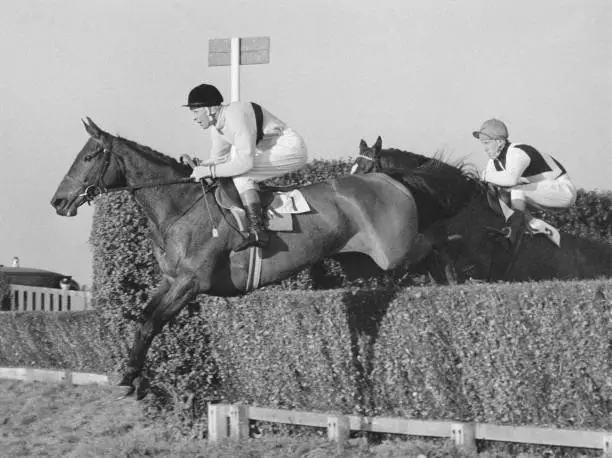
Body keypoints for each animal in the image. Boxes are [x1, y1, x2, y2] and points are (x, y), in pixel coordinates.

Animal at [51, 119, 474, 398]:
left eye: (89, 156)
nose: (58, 200)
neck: (180, 207)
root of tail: (389, 178)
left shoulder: (191, 282)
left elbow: (152, 322)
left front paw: (129, 379)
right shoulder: (171, 280)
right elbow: (144, 318)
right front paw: (133, 375)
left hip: (392, 251)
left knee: (438, 244)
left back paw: (456, 272)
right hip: (363, 260)